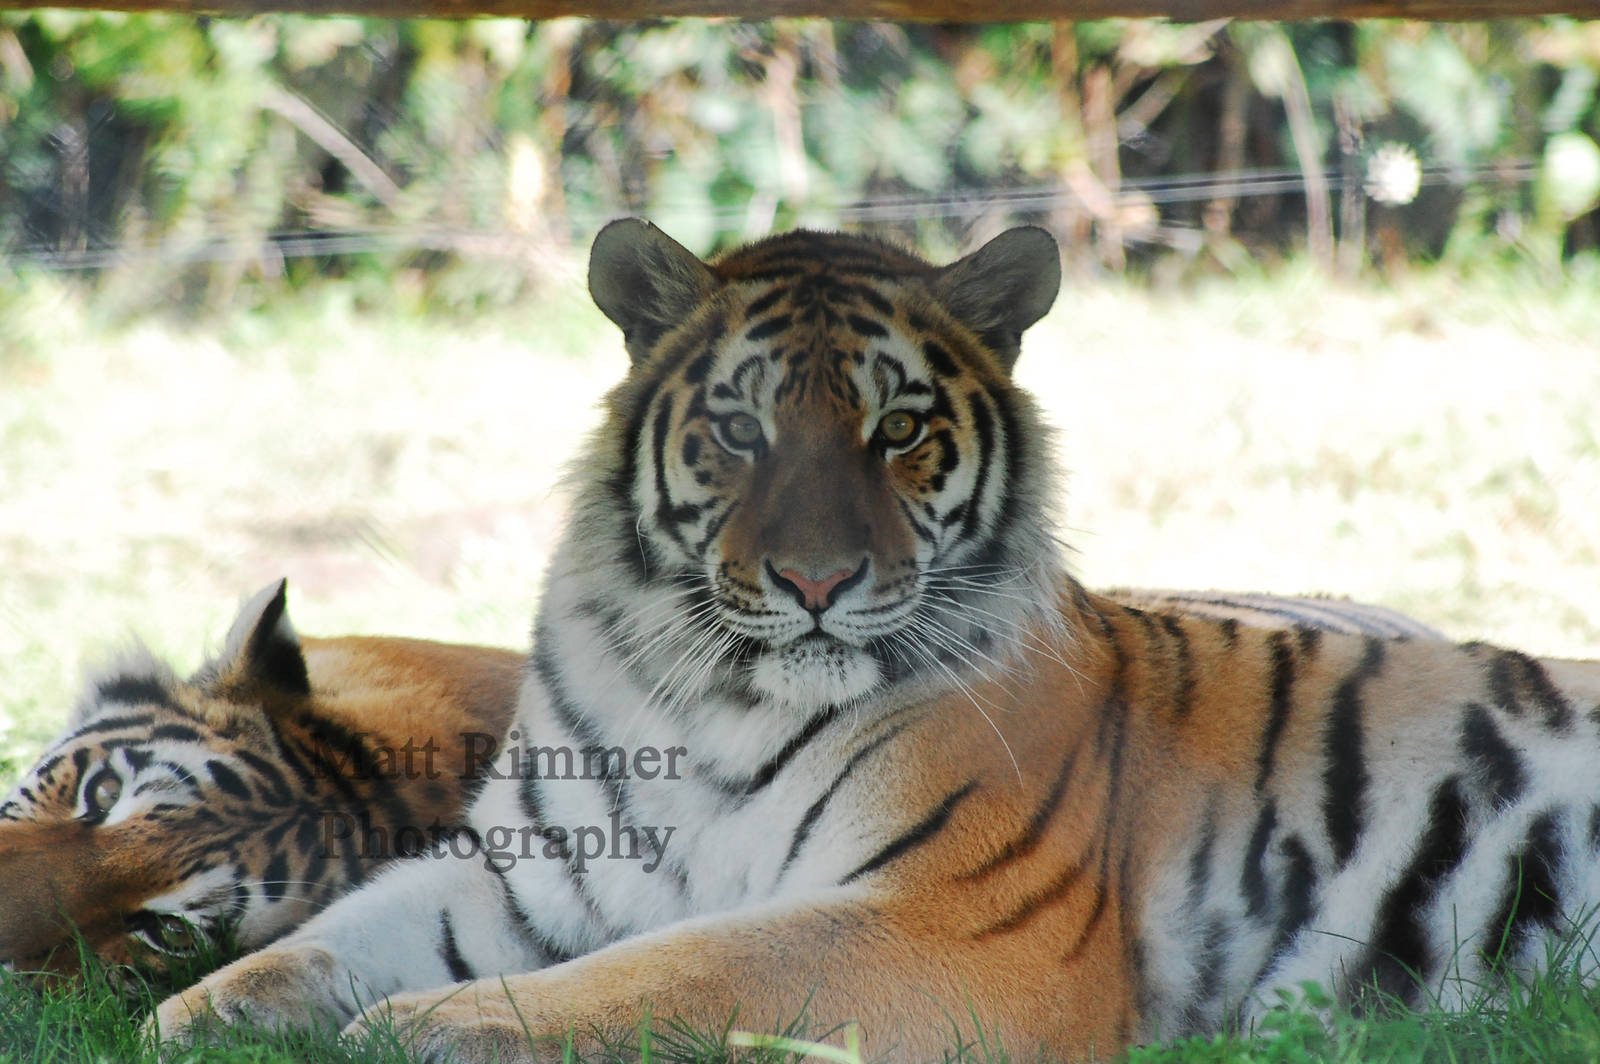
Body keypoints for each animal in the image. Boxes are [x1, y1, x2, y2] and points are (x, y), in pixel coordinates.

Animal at [153, 221, 1598, 1064]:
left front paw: (426, 1027)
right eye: (740, 430)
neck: (708, 699)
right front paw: (192, 1010)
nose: (815, 579)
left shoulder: (958, 921)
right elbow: (335, 931)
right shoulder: (521, 878)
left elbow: (677, 968)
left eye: (896, 429)